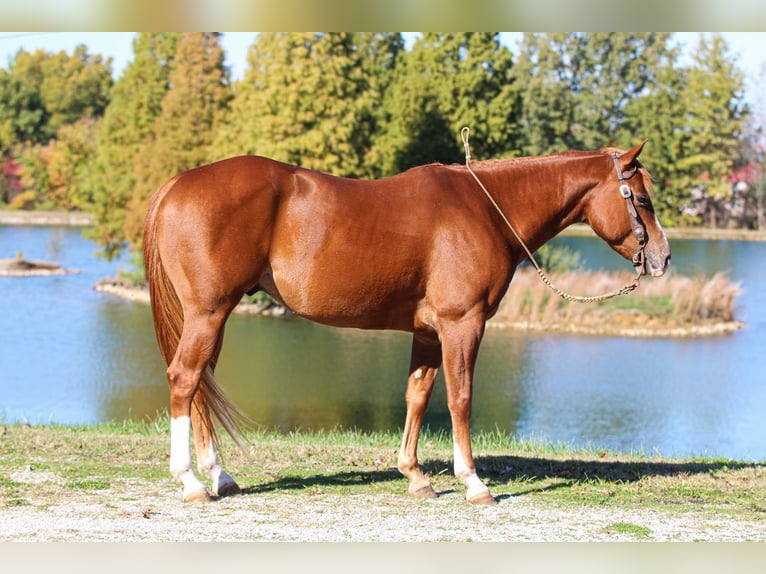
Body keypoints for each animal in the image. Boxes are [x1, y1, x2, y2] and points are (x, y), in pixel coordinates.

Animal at [142, 139, 670, 505]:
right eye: (642, 200)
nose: (663, 258)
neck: (486, 210)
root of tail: (177, 183)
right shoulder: (463, 324)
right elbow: (460, 399)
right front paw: (473, 482)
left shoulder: (429, 332)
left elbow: (418, 395)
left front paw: (415, 476)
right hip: (209, 313)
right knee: (184, 378)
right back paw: (191, 482)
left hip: (214, 316)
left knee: (201, 383)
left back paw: (220, 476)